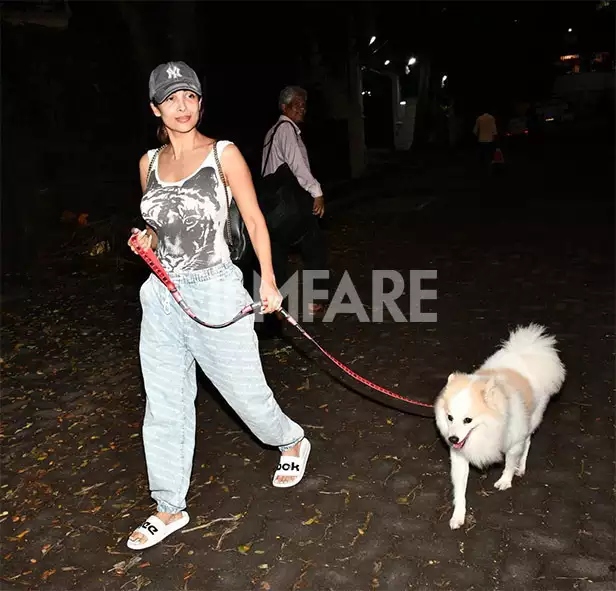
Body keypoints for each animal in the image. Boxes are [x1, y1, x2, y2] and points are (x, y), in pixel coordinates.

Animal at [436, 326, 564, 528]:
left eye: (468, 420)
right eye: (450, 418)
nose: (453, 439)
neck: (488, 427)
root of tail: (528, 350)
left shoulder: (514, 443)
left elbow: (510, 463)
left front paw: (505, 480)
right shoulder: (460, 457)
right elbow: (460, 490)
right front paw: (458, 515)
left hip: (532, 420)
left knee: (528, 442)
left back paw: (521, 467)